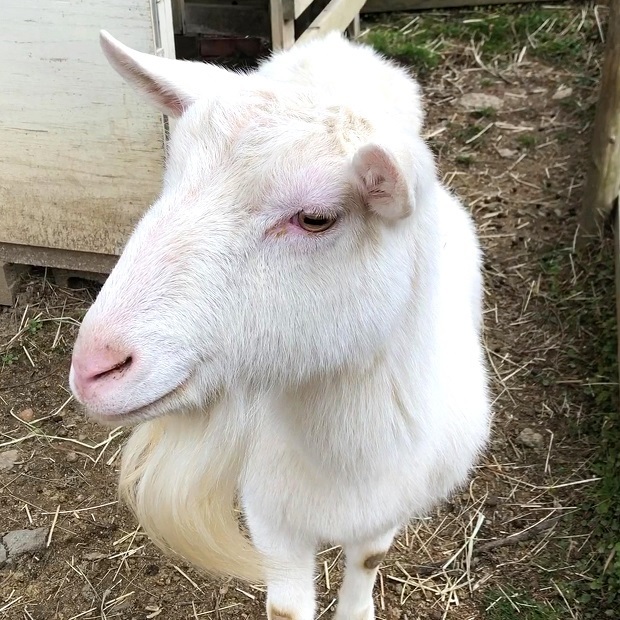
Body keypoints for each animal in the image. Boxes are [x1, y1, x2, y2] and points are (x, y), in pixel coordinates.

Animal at [70, 31, 492, 620]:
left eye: (315, 218)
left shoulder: (389, 509)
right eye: (170, 178)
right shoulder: (271, 516)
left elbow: (368, 563)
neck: (344, 457)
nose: (95, 368)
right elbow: (287, 607)